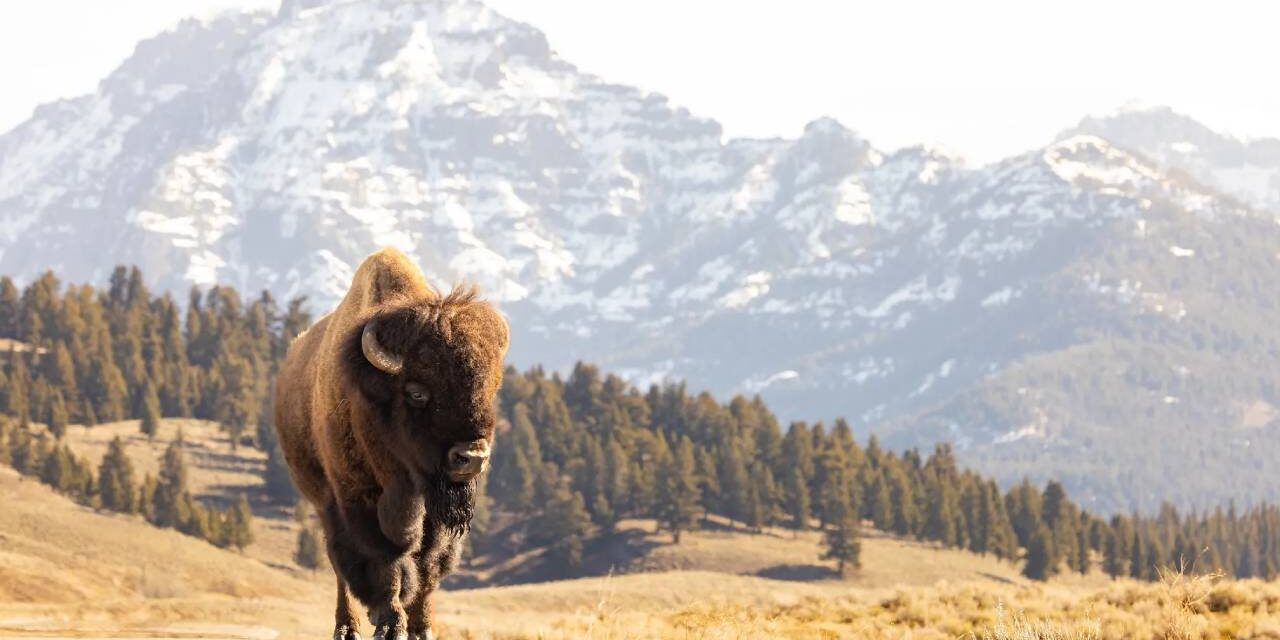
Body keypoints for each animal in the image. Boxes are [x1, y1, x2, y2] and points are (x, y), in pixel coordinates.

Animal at [275, 248, 509, 640]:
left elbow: (428, 566)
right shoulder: (357, 500)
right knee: (339, 565)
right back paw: (347, 628)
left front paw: (422, 627)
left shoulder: (437, 518)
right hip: (323, 501)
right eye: (416, 392)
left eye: (488, 389)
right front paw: (388, 623)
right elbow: (383, 558)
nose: (472, 457)